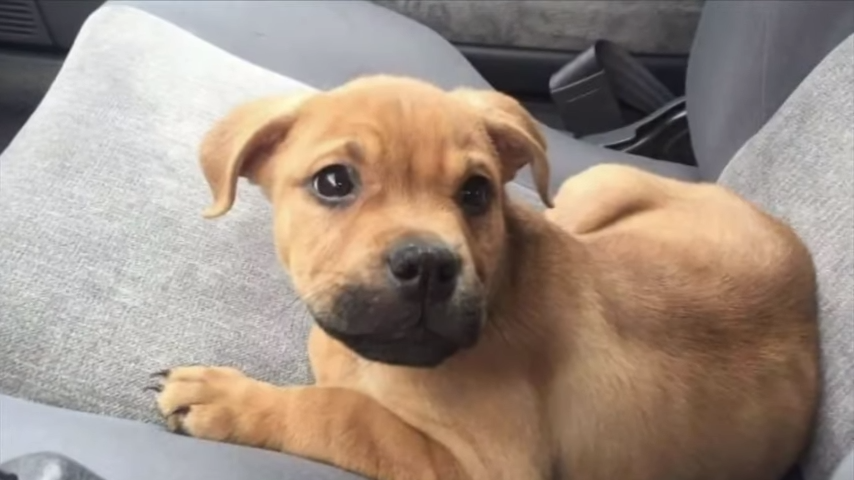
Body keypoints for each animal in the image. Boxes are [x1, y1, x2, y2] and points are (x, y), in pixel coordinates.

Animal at [150, 75, 819, 480]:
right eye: (333, 182)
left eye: (476, 193)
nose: (428, 264)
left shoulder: (485, 467)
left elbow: (347, 413)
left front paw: (228, 398)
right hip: (593, 189)